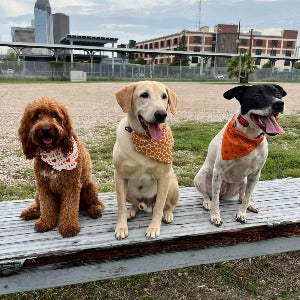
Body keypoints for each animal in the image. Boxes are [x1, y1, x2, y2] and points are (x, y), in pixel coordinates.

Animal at [18, 98, 105, 237]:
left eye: (55, 115)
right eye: (36, 116)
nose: (46, 129)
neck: (53, 152)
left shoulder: (71, 185)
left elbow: (69, 208)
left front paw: (69, 227)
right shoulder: (44, 186)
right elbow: (47, 206)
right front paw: (45, 222)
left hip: (89, 187)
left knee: (97, 203)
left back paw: (94, 210)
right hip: (37, 193)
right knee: (40, 206)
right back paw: (30, 212)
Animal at [112, 80, 178, 239]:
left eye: (164, 96)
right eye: (144, 95)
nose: (161, 114)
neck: (144, 139)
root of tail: (145, 204)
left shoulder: (164, 177)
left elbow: (159, 206)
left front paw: (154, 228)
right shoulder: (120, 176)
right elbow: (121, 206)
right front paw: (121, 227)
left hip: (172, 185)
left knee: (168, 205)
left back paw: (168, 215)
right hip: (128, 190)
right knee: (134, 205)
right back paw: (131, 211)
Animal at [195, 84, 286, 225]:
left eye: (277, 94)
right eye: (257, 95)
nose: (279, 104)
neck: (249, 138)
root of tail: (223, 193)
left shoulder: (255, 174)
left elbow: (247, 196)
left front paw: (242, 213)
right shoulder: (218, 171)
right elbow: (215, 201)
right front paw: (215, 216)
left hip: (244, 180)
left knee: (242, 196)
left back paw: (250, 205)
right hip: (201, 176)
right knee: (208, 195)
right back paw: (207, 202)